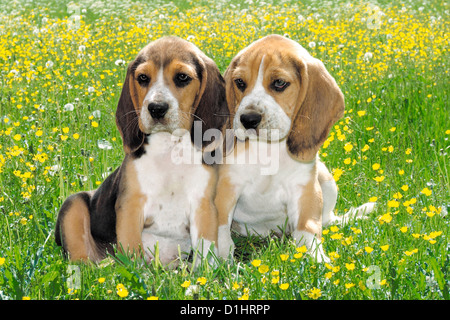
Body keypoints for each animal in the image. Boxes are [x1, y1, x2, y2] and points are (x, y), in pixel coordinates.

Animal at [56, 37, 229, 268]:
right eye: (143, 78)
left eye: (183, 77)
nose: (156, 108)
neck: (168, 148)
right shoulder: (131, 206)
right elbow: (132, 254)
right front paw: (138, 275)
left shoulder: (204, 207)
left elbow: (206, 251)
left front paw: (205, 275)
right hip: (73, 204)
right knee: (81, 260)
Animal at [216, 35, 374, 262]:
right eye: (239, 82)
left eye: (279, 83)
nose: (248, 119)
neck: (269, 150)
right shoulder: (226, 188)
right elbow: (220, 229)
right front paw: (219, 259)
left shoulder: (305, 191)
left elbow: (308, 228)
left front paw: (318, 259)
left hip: (326, 179)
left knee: (326, 220)